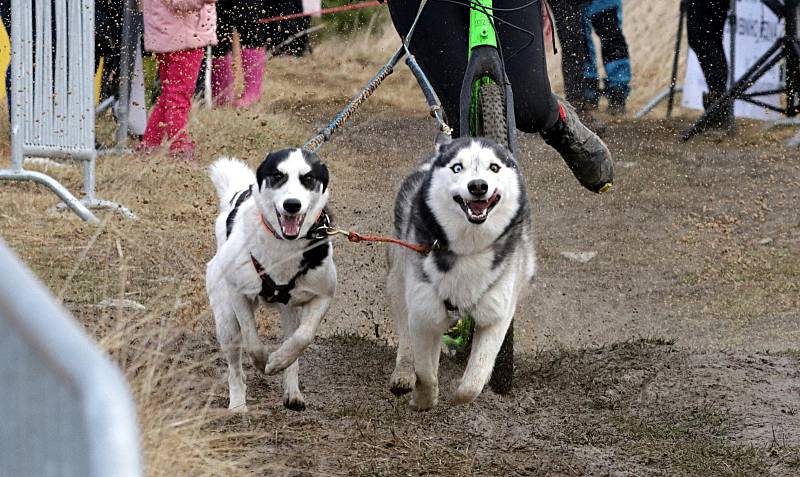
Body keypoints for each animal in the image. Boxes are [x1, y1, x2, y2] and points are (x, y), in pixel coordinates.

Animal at [206, 149, 334, 410]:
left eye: (308, 178)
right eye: (277, 176)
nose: (292, 205)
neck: (284, 246)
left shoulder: (324, 292)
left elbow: (302, 338)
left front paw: (277, 361)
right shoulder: (237, 292)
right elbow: (251, 338)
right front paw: (262, 359)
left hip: (289, 311)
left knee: (292, 339)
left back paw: (292, 391)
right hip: (225, 318)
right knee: (235, 366)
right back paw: (237, 404)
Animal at [384, 137, 536, 410]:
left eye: (494, 167)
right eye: (457, 167)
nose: (478, 186)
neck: (469, 249)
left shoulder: (497, 314)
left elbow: (474, 378)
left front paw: (459, 395)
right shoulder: (423, 312)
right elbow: (425, 370)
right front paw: (424, 398)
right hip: (399, 280)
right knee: (407, 336)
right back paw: (404, 372)